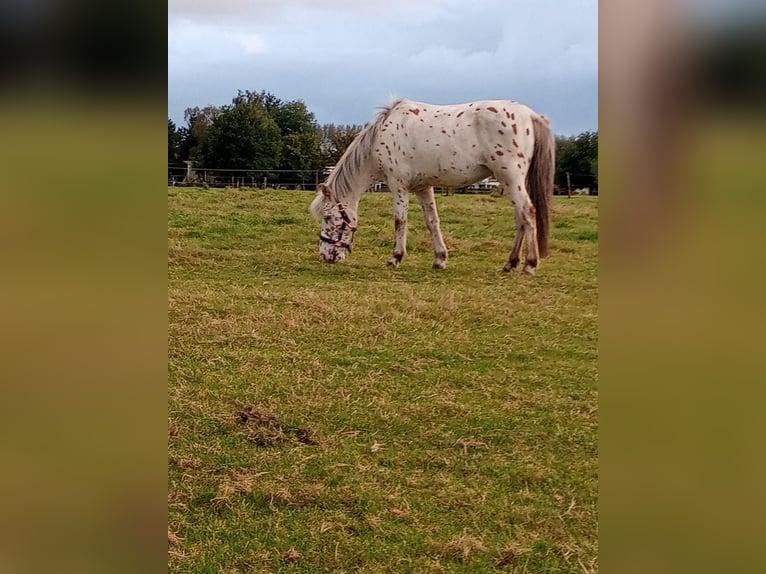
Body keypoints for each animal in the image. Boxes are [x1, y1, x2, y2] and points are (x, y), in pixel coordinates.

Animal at [308, 98, 556, 276]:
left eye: (328, 217)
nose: (325, 256)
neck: (381, 136)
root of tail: (531, 115)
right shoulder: (423, 187)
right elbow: (432, 221)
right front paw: (439, 259)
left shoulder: (398, 185)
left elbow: (400, 221)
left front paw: (395, 258)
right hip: (513, 182)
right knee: (520, 219)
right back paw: (510, 264)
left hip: (510, 178)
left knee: (528, 213)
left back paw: (529, 265)